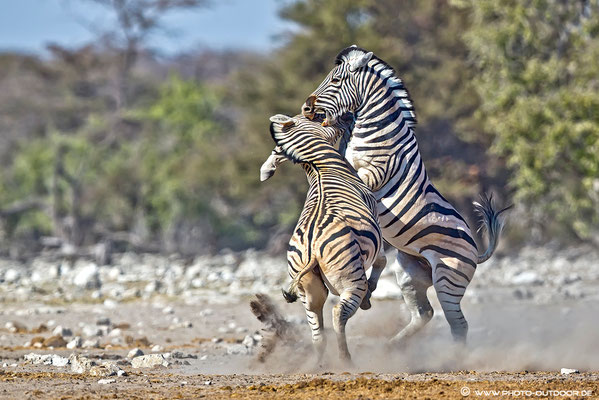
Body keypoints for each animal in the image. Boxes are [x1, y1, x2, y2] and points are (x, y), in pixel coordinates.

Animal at [268, 112, 384, 362]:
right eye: (319, 118)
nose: (349, 117)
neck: (321, 165)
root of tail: (311, 247)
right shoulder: (376, 221)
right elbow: (382, 260)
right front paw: (370, 293)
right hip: (349, 279)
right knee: (338, 312)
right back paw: (345, 359)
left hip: (308, 288)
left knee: (317, 330)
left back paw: (319, 364)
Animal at [296, 45, 510, 346]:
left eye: (336, 81)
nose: (306, 108)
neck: (377, 134)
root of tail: (477, 249)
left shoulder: (374, 175)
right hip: (410, 273)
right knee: (424, 313)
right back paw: (392, 346)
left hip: (448, 277)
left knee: (458, 325)